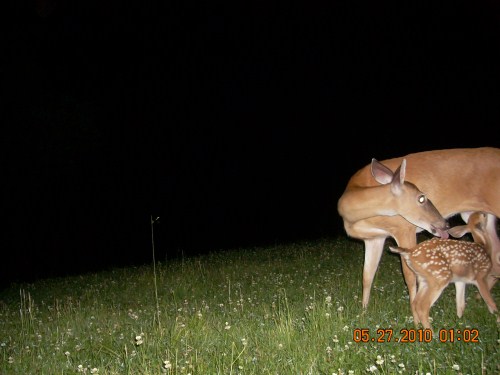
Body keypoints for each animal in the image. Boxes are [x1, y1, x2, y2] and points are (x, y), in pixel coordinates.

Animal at [336, 148, 500, 312]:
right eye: (421, 198)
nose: (445, 224)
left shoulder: (404, 228)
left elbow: (409, 275)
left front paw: (413, 308)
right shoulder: (374, 238)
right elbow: (367, 275)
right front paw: (364, 310)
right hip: (477, 216)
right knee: (495, 254)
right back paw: (481, 298)